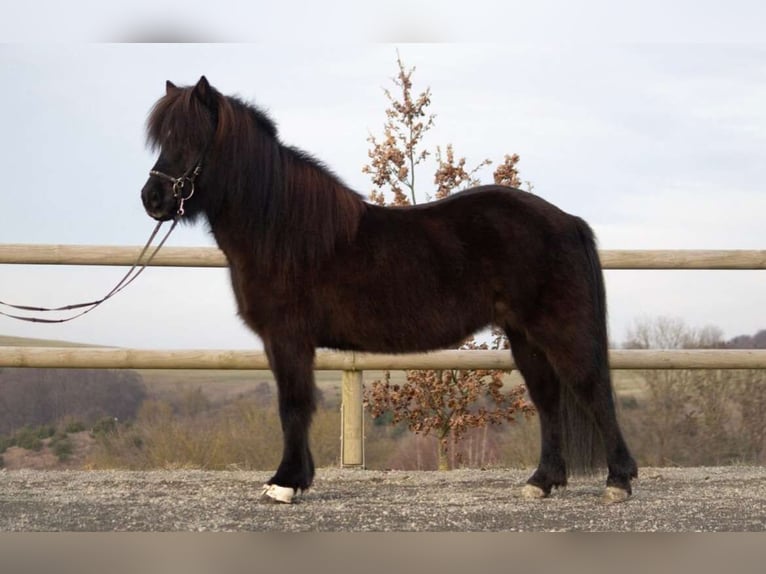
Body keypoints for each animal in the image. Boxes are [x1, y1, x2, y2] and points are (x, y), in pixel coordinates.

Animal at [141, 76, 637, 504]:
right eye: (163, 139)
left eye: (190, 138)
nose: (152, 199)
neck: (283, 229)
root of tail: (566, 220)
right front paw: (296, 479)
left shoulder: (288, 339)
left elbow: (293, 405)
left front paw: (285, 483)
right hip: (524, 336)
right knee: (548, 399)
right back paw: (542, 481)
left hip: (558, 328)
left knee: (593, 390)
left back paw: (618, 481)